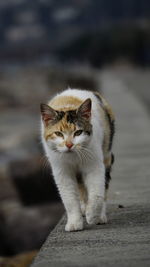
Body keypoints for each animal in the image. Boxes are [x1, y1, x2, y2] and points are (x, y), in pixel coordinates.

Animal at [40, 89, 115, 231]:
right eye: (58, 134)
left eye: (78, 132)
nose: (69, 144)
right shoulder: (61, 171)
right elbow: (69, 199)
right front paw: (74, 223)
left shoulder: (94, 164)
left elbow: (97, 193)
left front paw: (93, 215)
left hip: (106, 153)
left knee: (104, 185)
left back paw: (99, 216)